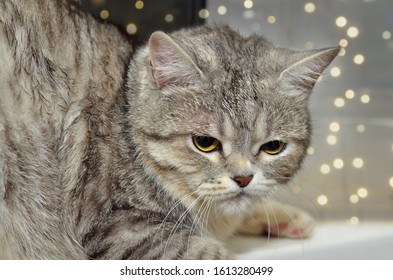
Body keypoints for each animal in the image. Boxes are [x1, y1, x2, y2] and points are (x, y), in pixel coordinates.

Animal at [0, 0, 338, 260]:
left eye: (272, 147)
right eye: (205, 142)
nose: (243, 178)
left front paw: (281, 216)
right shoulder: (119, 230)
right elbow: (212, 254)